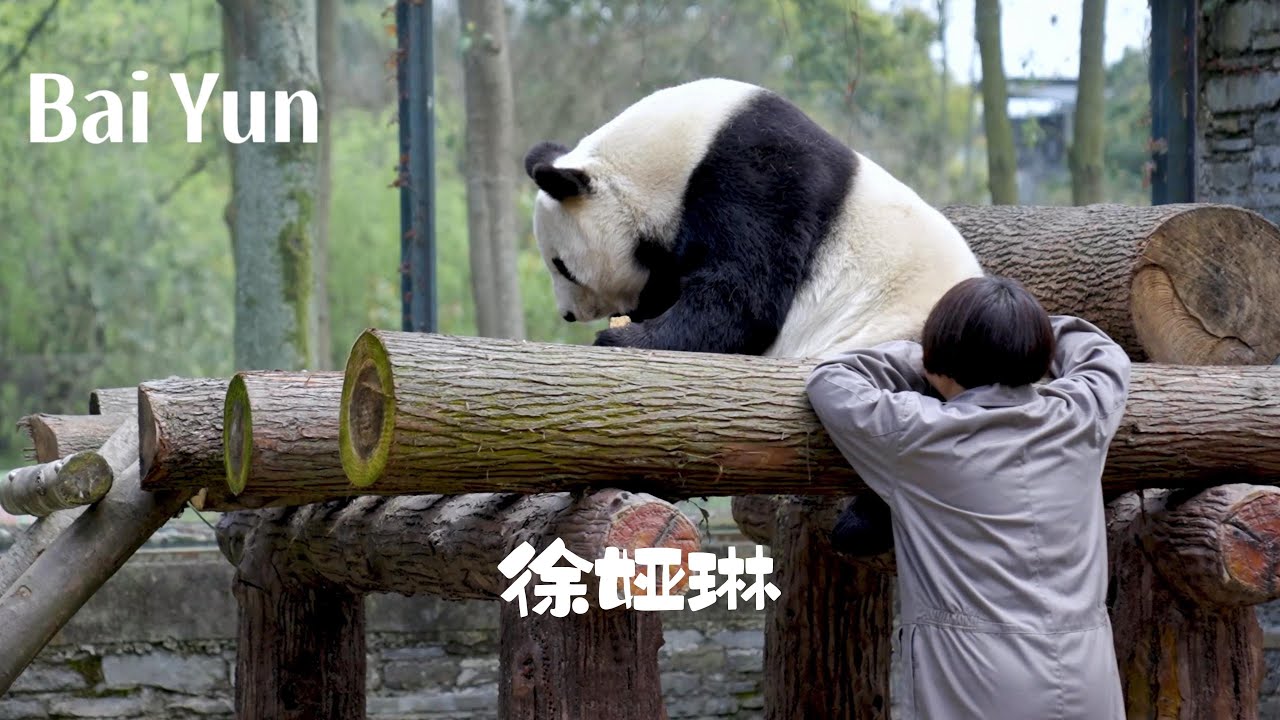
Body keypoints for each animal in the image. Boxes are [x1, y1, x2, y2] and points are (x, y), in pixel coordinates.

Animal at [523, 77, 983, 553]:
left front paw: (624, 339)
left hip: (909, 345)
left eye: (561, 265)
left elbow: (742, 299)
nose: (569, 314)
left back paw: (860, 527)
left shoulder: (757, 174)